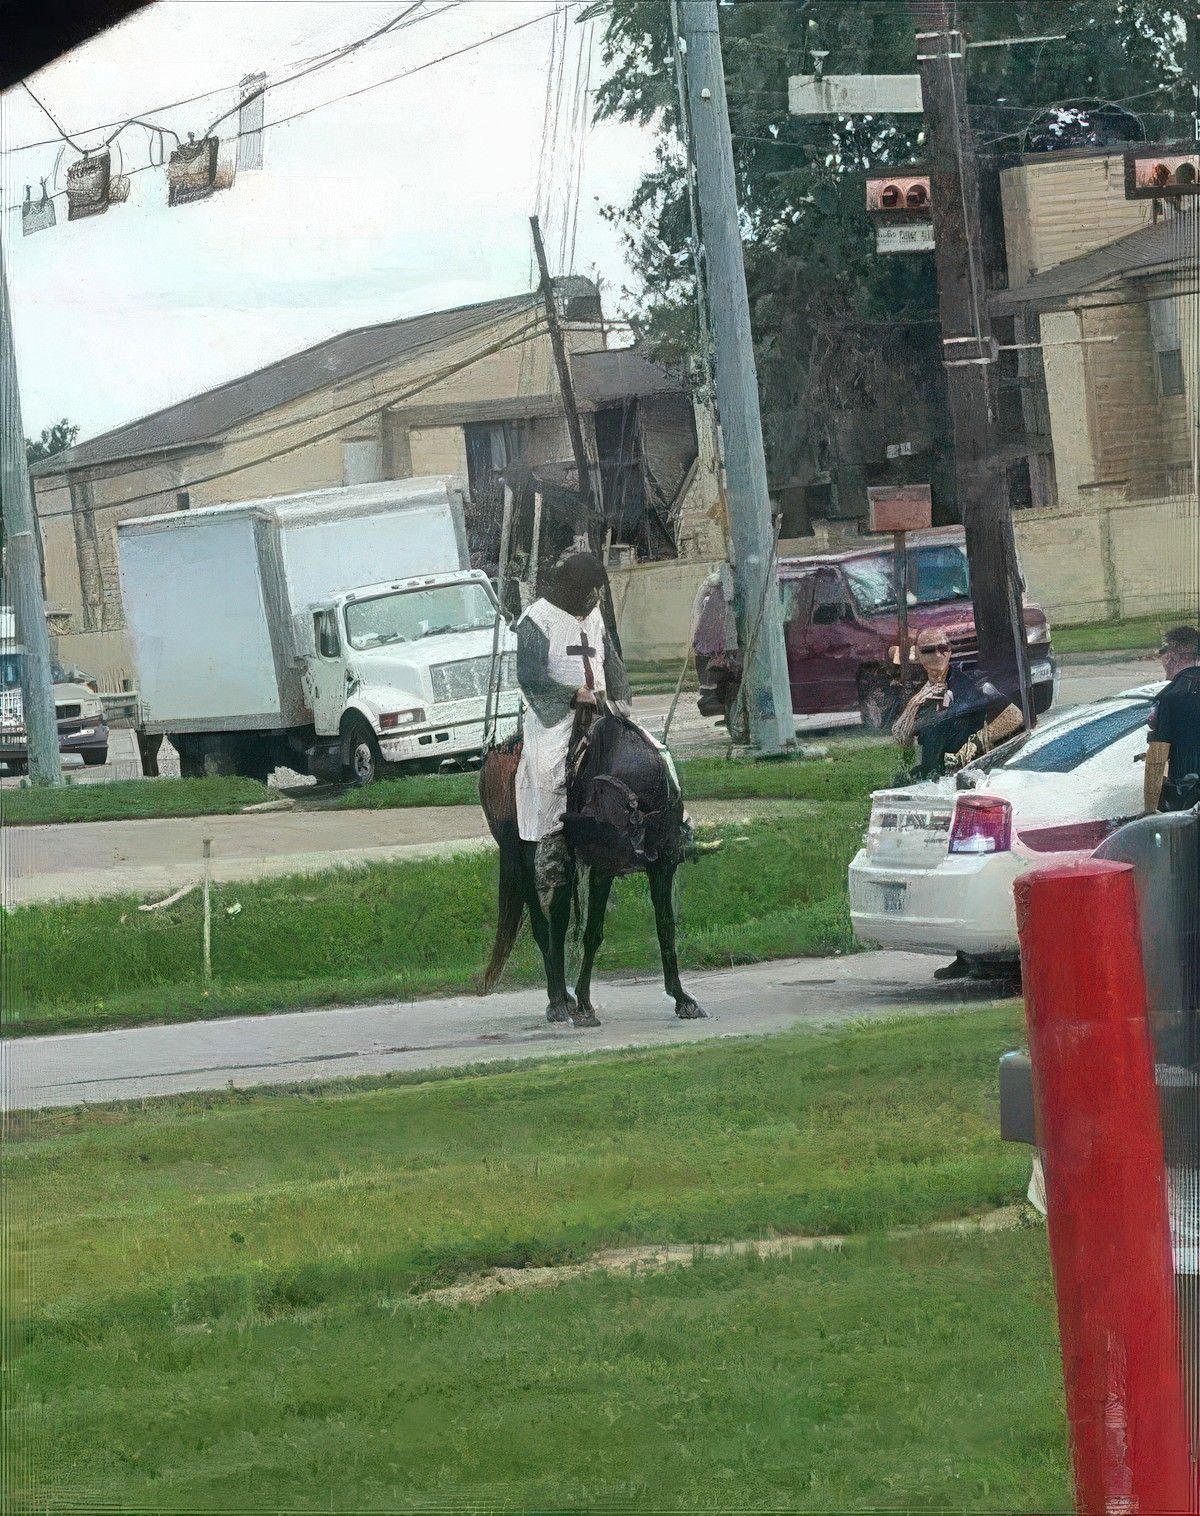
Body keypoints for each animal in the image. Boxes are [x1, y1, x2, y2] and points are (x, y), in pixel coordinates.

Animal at [478, 703, 703, 1024]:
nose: (562, 827)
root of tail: (495, 755)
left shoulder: (662, 863)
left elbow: (665, 926)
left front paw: (682, 997)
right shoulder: (602, 868)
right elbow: (592, 932)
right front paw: (585, 1002)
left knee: (557, 920)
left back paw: (562, 998)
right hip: (521, 858)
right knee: (543, 926)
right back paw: (557, 1002)